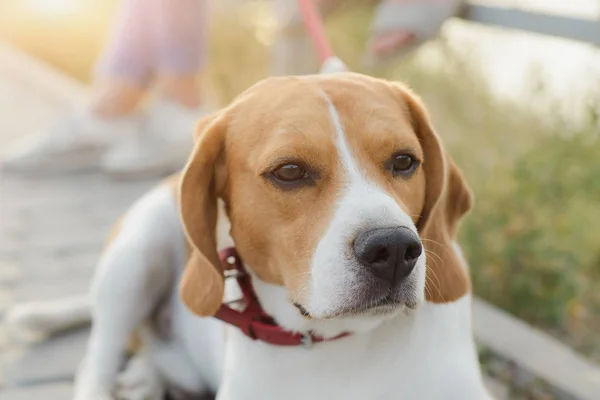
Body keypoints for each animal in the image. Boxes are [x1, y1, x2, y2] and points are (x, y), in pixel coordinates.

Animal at [8, 72, 492, 400]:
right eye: (290, 171)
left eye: (404, 161)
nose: (393, 248)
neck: (338, 346)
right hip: (137, 252)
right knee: (97, 361)